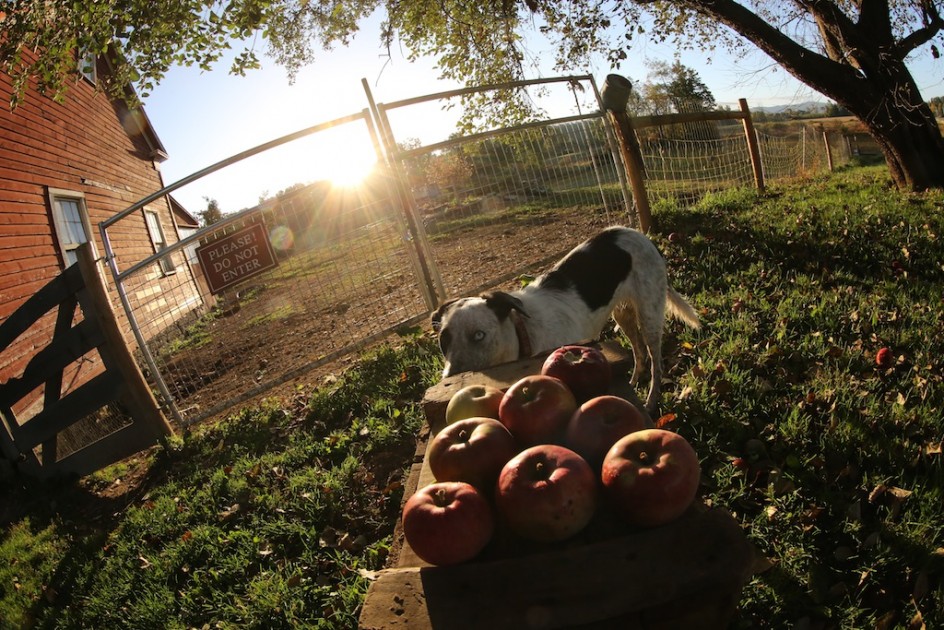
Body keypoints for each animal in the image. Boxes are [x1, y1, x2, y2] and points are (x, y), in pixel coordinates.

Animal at [432, 226, 696, 414]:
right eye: (443, 340)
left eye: (479, 335)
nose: (450, 378)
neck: (524, 333)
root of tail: (641, 235)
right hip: (623, 314)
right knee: (639, 352)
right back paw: (632, 381)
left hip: (649, 315)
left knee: (655, 362)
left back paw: (651, 401)